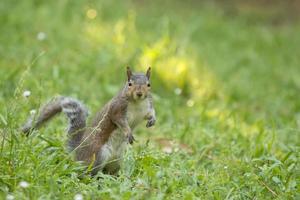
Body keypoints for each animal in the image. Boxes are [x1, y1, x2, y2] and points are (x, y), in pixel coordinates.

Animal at [21, 67, 156, 175]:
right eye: (129, 84)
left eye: (149, 84)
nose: (139, 93)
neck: (137, 103)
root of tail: (79, 151)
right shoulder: (117, 109)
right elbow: (119, 121)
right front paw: (128, 132)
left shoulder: (147, 106)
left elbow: (150, 114)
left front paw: (152, 120)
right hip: (99, 155)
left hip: (116, 160)